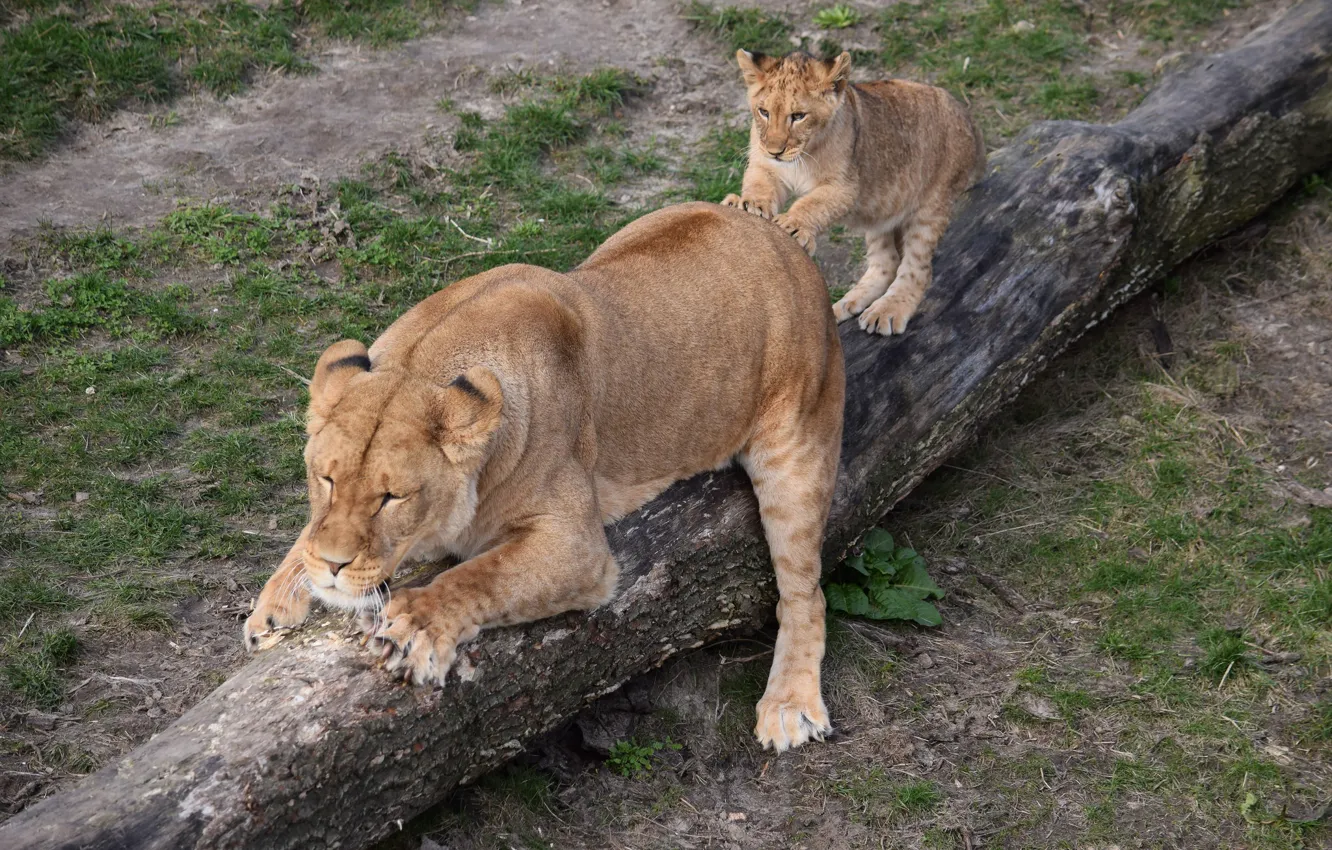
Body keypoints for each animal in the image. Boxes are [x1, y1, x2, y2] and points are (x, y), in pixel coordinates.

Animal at [243, 202, 845, 752]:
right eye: (325, 480)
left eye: (392, 497)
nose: (333, 567)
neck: (422, 361)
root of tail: (784, 241)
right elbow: (307, 535)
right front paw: (278, 597)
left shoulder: (580, 547)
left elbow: (482, 574)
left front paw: (415, 624)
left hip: (794, 450)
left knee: (804, 594)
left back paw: (789, 705)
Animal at [723, 50, 985, 336]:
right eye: (764, 112)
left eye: (799, 116)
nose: (775, 150)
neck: (804, 155)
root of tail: (969, 119)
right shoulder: (764, 165)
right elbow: (759, 185)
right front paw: (747, 205)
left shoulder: (844, 186)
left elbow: (812, 204)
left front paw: (793, 225)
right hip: (881, 216)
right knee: (887, 262)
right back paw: (846, 305)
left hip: (932, 206)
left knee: (918, 269)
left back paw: (887, 310)